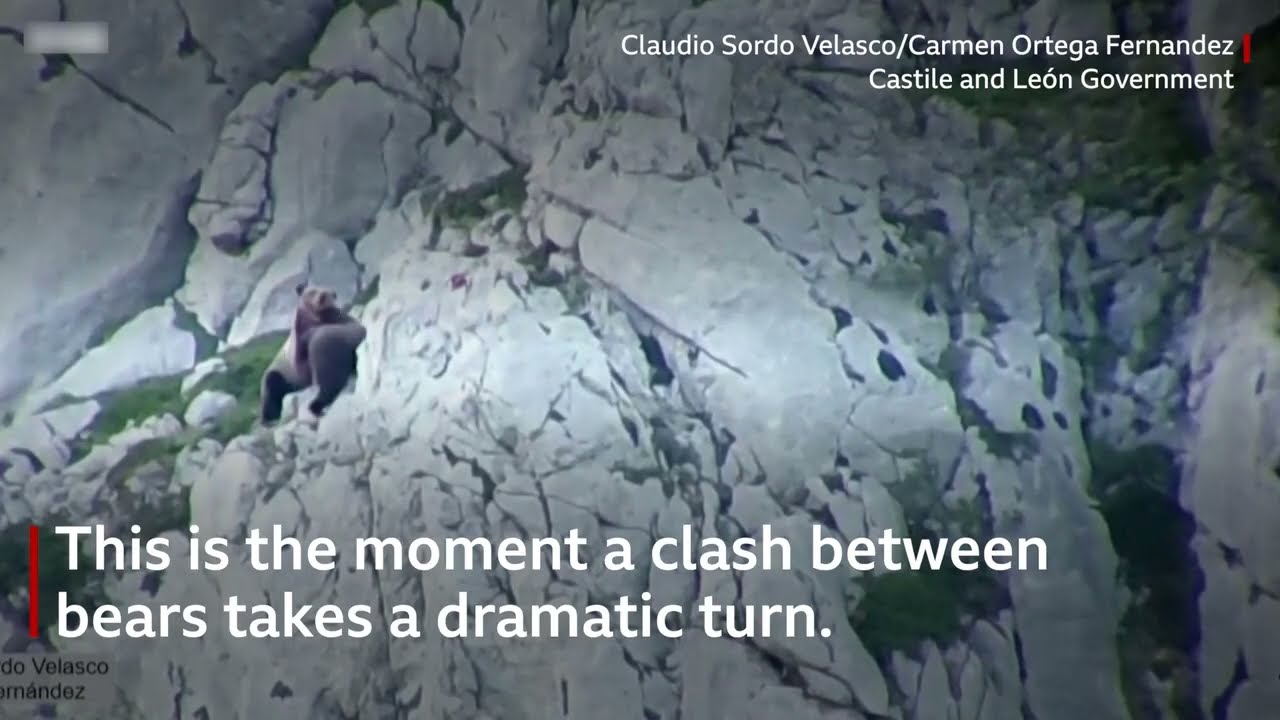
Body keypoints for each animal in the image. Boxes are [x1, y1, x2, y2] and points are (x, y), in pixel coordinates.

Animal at [259, 283, 367, 424]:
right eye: (312, 291)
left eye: (327, 292)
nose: (321, 297)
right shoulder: (297, 348)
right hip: (279, 374)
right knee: (271, 387)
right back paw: (269, 417)